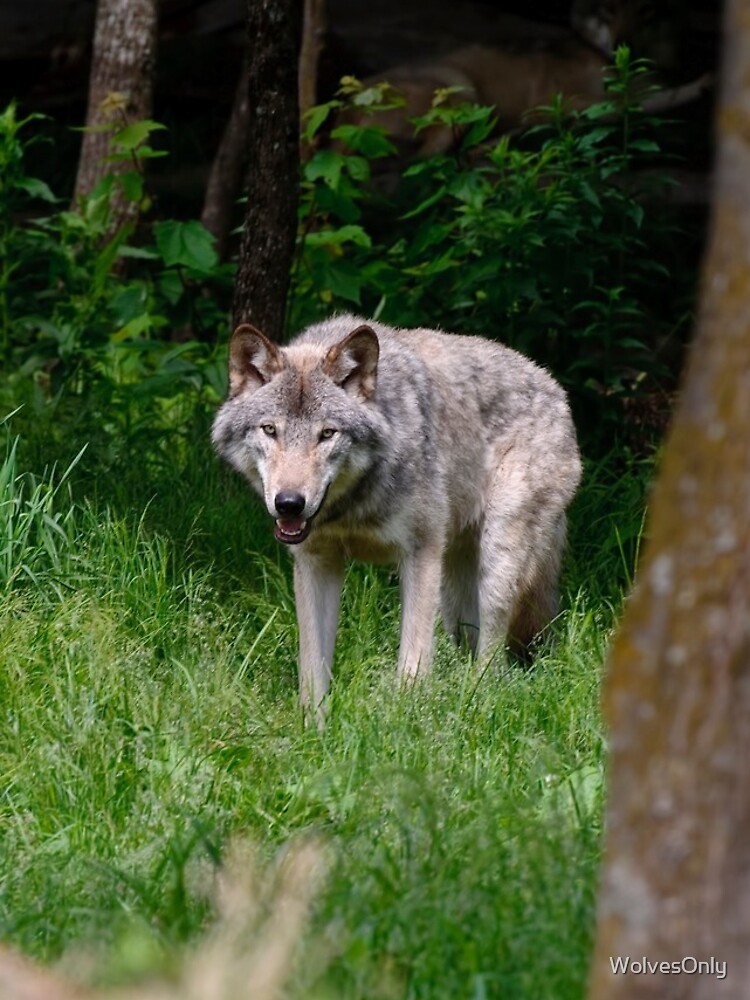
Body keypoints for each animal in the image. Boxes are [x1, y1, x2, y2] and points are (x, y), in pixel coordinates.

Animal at [212, 315, 582, 723]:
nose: (289, 503)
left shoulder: (421, 553)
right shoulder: (316, 562)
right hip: (454, 594)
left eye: (327, 434)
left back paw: (477, 704)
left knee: (492, 659)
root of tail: (555, 388)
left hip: (495, 568)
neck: (352, 506)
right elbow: (312, 666)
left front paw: (404, 722)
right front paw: (313, 727)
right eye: (270, 429)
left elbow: (413, 661)